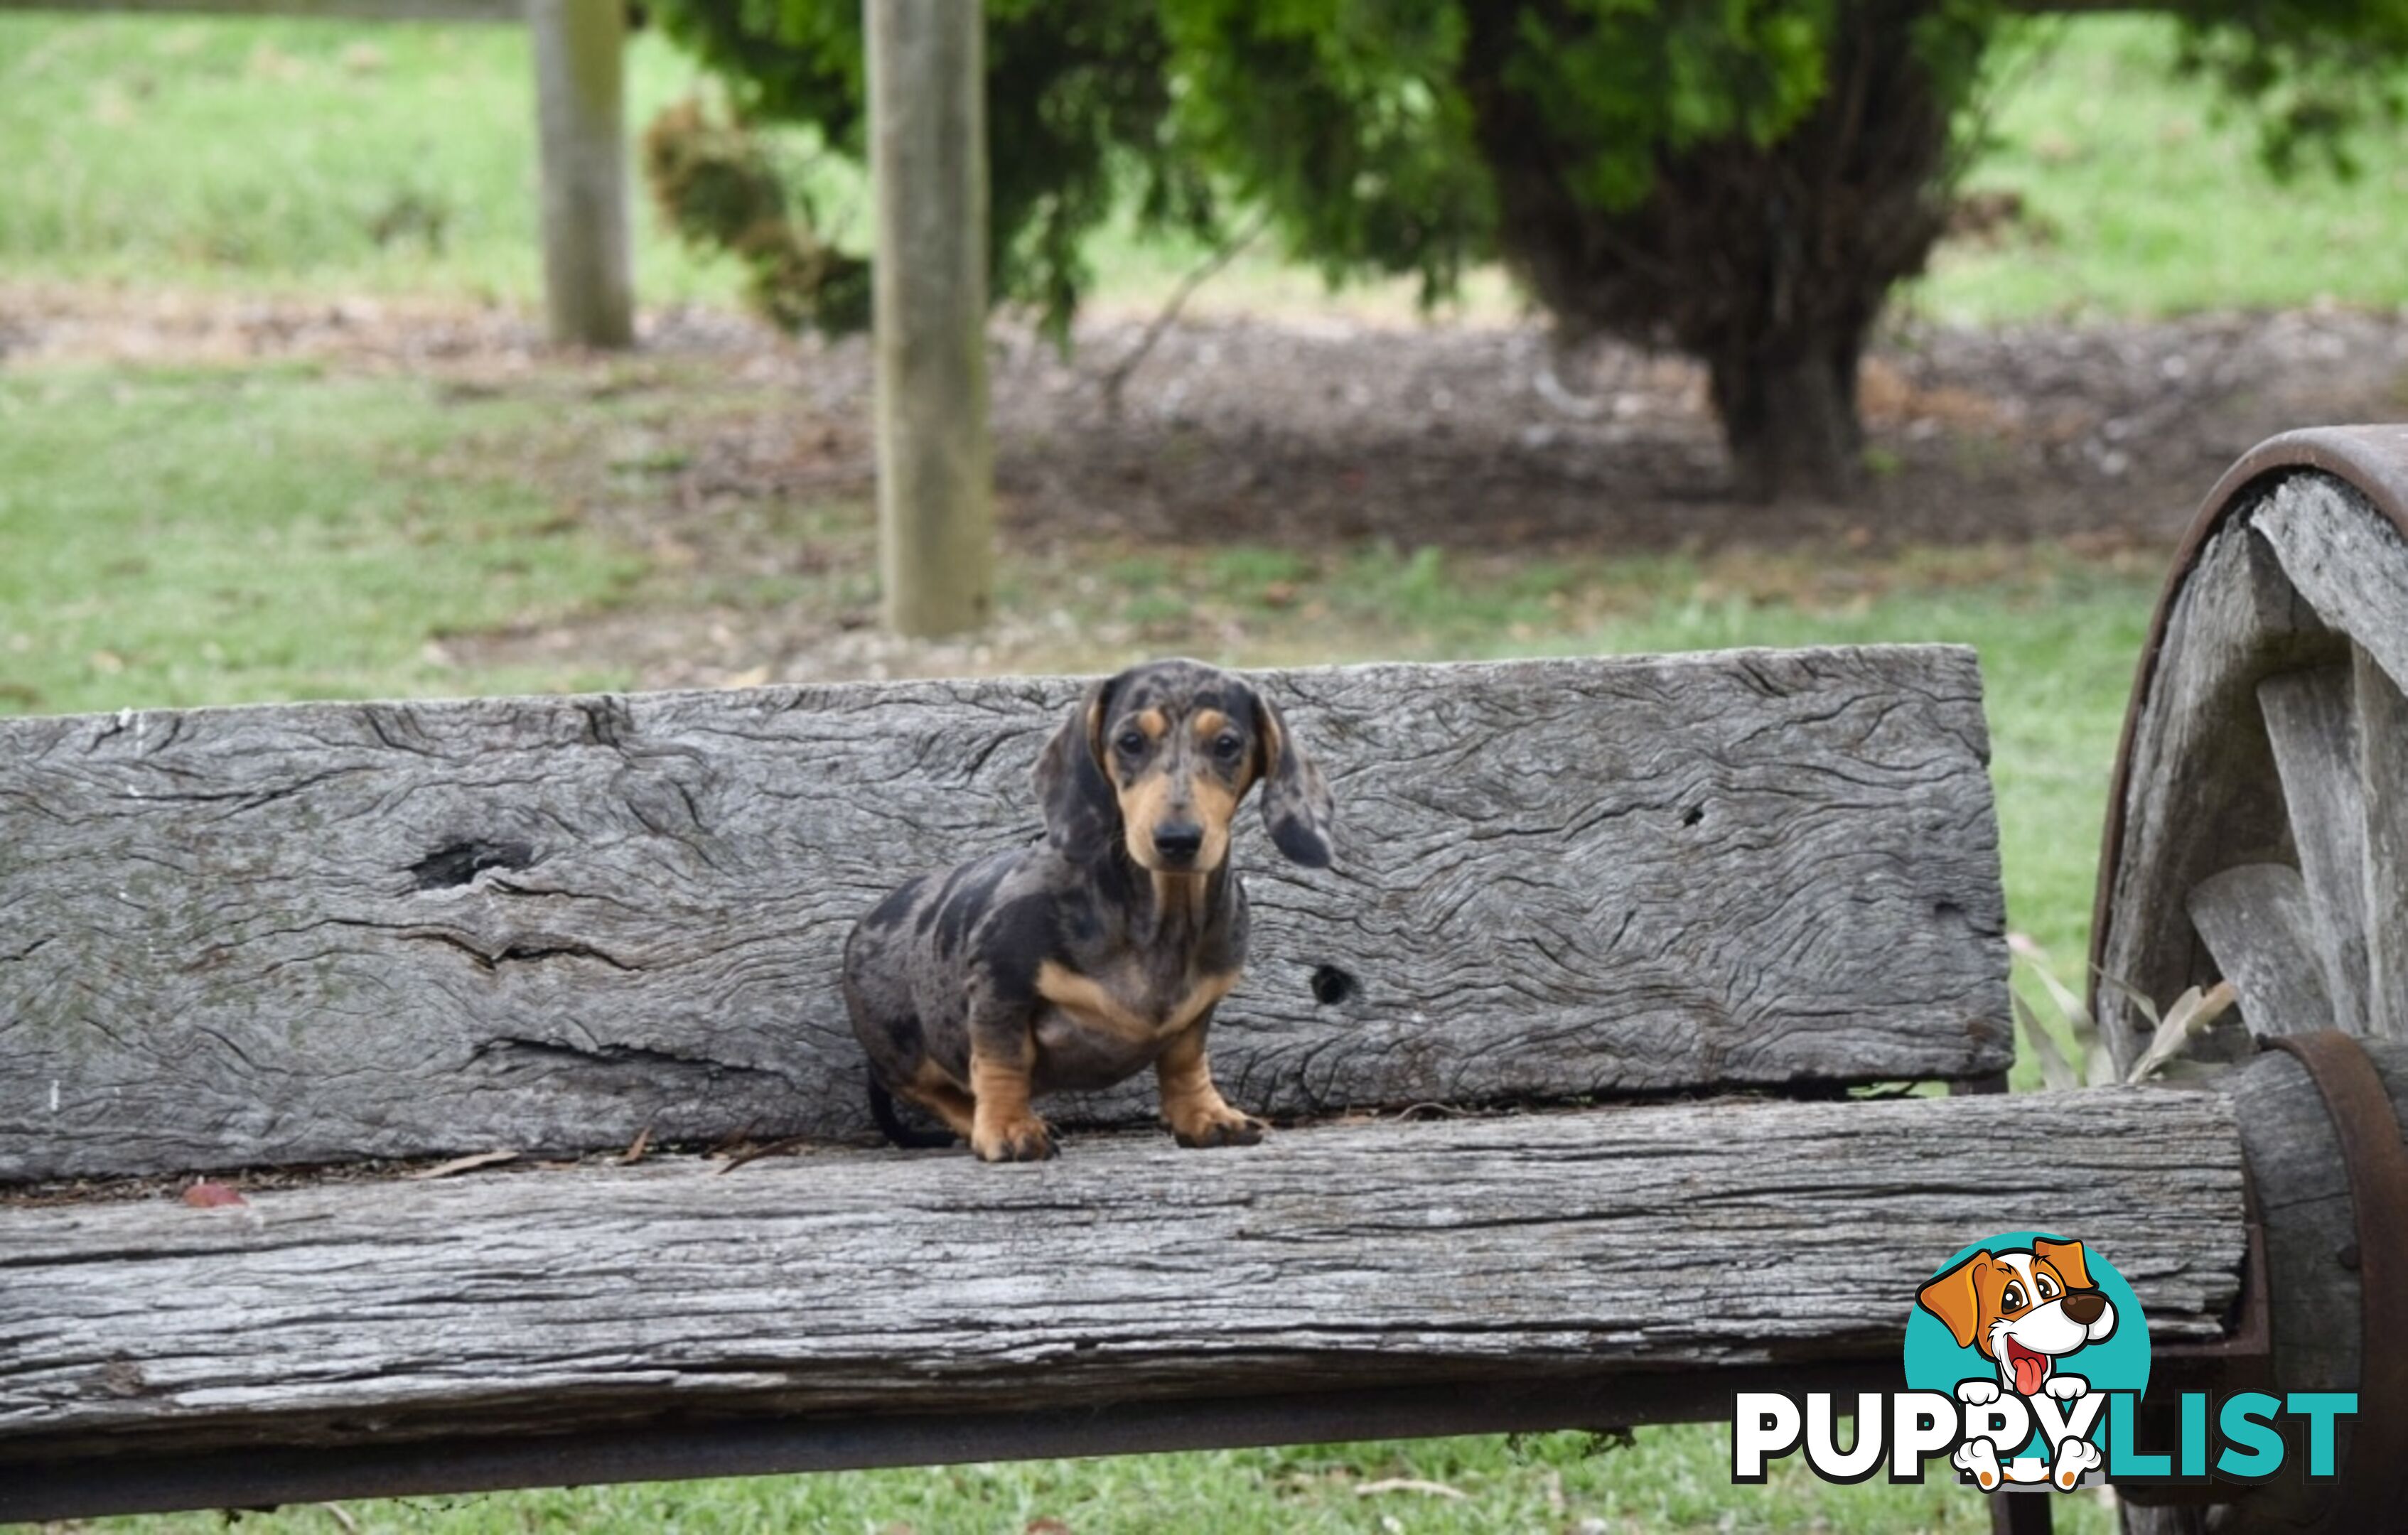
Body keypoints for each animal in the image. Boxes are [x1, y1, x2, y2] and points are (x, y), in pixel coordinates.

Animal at [842, 664, 1338, 1164]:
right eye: (1131, 741)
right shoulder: (1000, 981)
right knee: (932, 1089)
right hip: (905, 1054)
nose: (1177, 840)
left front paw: (1206, 1115)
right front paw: (1007, 1126)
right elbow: (1002, 1060)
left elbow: (1185, 1061)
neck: (1161, 913)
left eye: (1227, 745)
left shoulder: (1199, 1009)